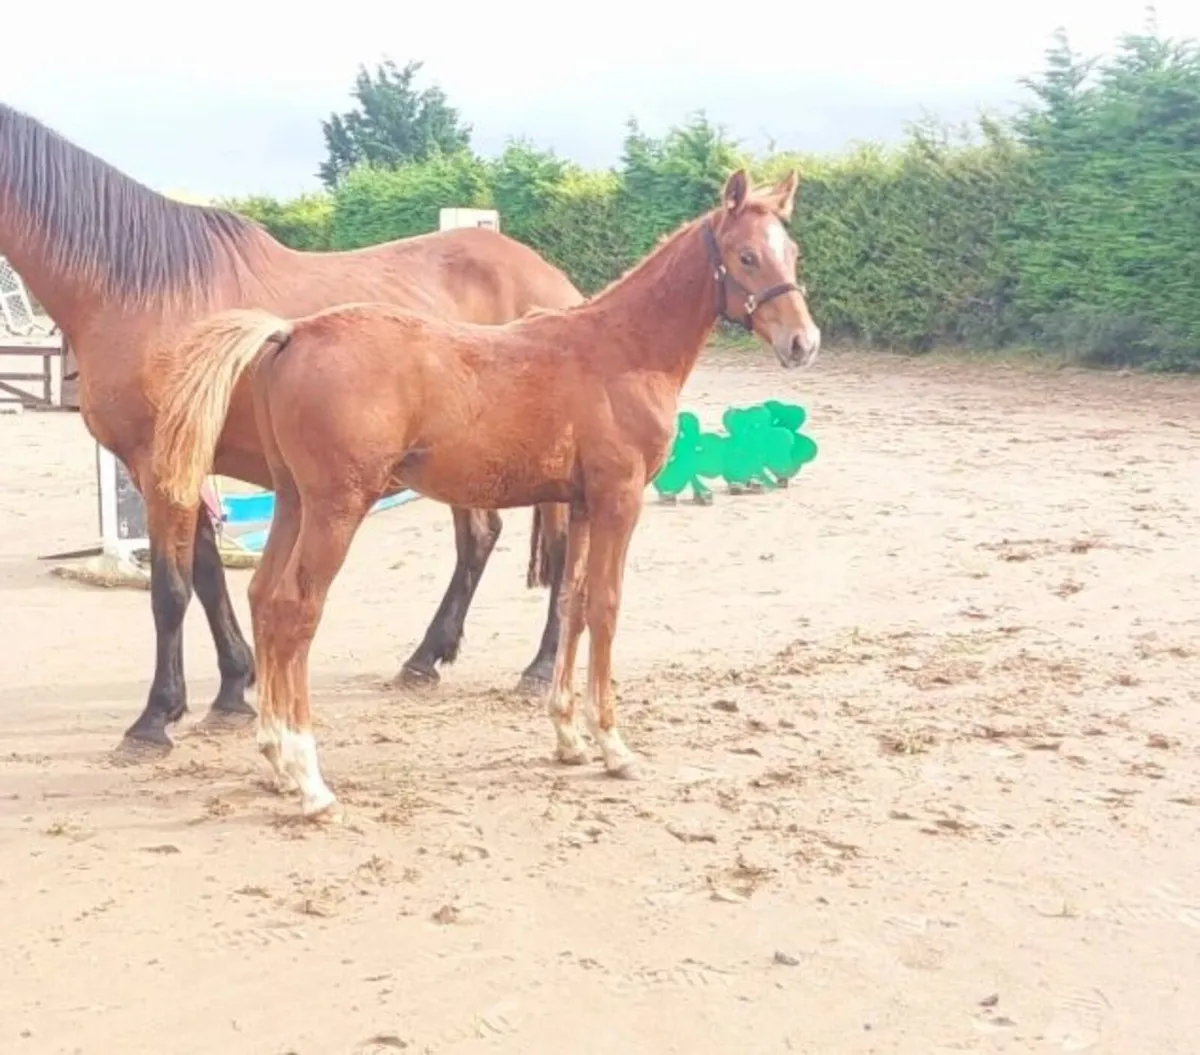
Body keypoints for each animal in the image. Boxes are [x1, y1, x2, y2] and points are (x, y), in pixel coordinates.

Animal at [0, 100, 578, 759]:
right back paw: (424, 659)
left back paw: (539, 669)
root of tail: (553, 281)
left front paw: (154, 719)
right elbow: (207, 576)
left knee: (563, 552)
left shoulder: (160, 467)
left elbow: (171, 591)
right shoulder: (181, 468)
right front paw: (233, 689)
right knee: (479, 538)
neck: (144, 290)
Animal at [152, 167, 821, 819]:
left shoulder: (581, 504)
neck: (623, 351)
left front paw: (568, 736)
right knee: (296, 609)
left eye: (791, 252)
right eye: (745, 256)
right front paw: (613, 745)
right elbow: (605, 606)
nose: (803, 343)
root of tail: (290, 333)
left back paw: (275, 760)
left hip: (294, 500)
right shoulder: (619, 500)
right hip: (336, 508)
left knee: (265, 597)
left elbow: (572, 603)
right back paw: (310, 780)